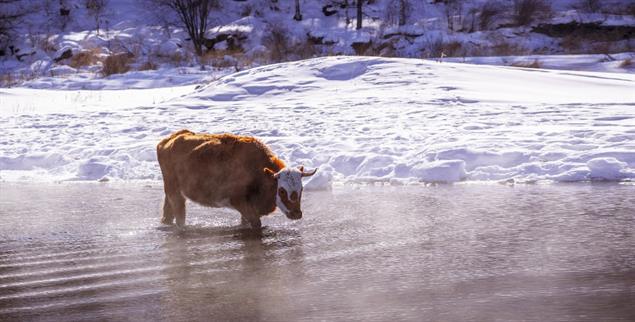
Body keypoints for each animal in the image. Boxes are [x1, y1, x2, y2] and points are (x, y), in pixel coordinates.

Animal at [157, 130, 318, 228]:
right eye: (282, 191)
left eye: (301, 189)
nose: (296, 214)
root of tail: (170, 139)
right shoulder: (239, 202)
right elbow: (256, 224)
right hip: (174, 193)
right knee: (179, 217)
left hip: (172, 193)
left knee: (167, 214)